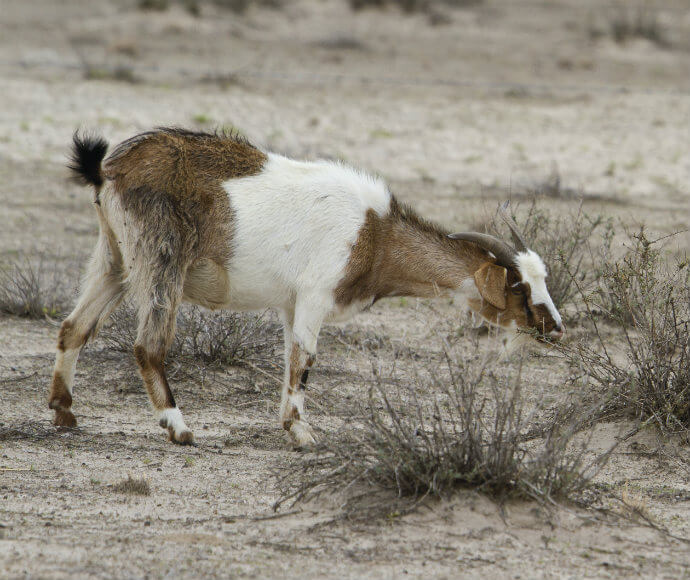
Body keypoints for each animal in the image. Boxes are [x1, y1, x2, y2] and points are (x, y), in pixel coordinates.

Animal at [51, 129, 560, 446]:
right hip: (161, 261)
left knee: (74, 328)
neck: (374, 234)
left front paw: (288, 425)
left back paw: (63, 411)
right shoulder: (315, 297)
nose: (554, 328)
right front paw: (302, 434)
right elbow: (305, 360)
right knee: (147, 345)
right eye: (518, 286)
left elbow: (289, 359)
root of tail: (108, 169)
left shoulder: (290, 306)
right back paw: (179, 426)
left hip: (115, 260)